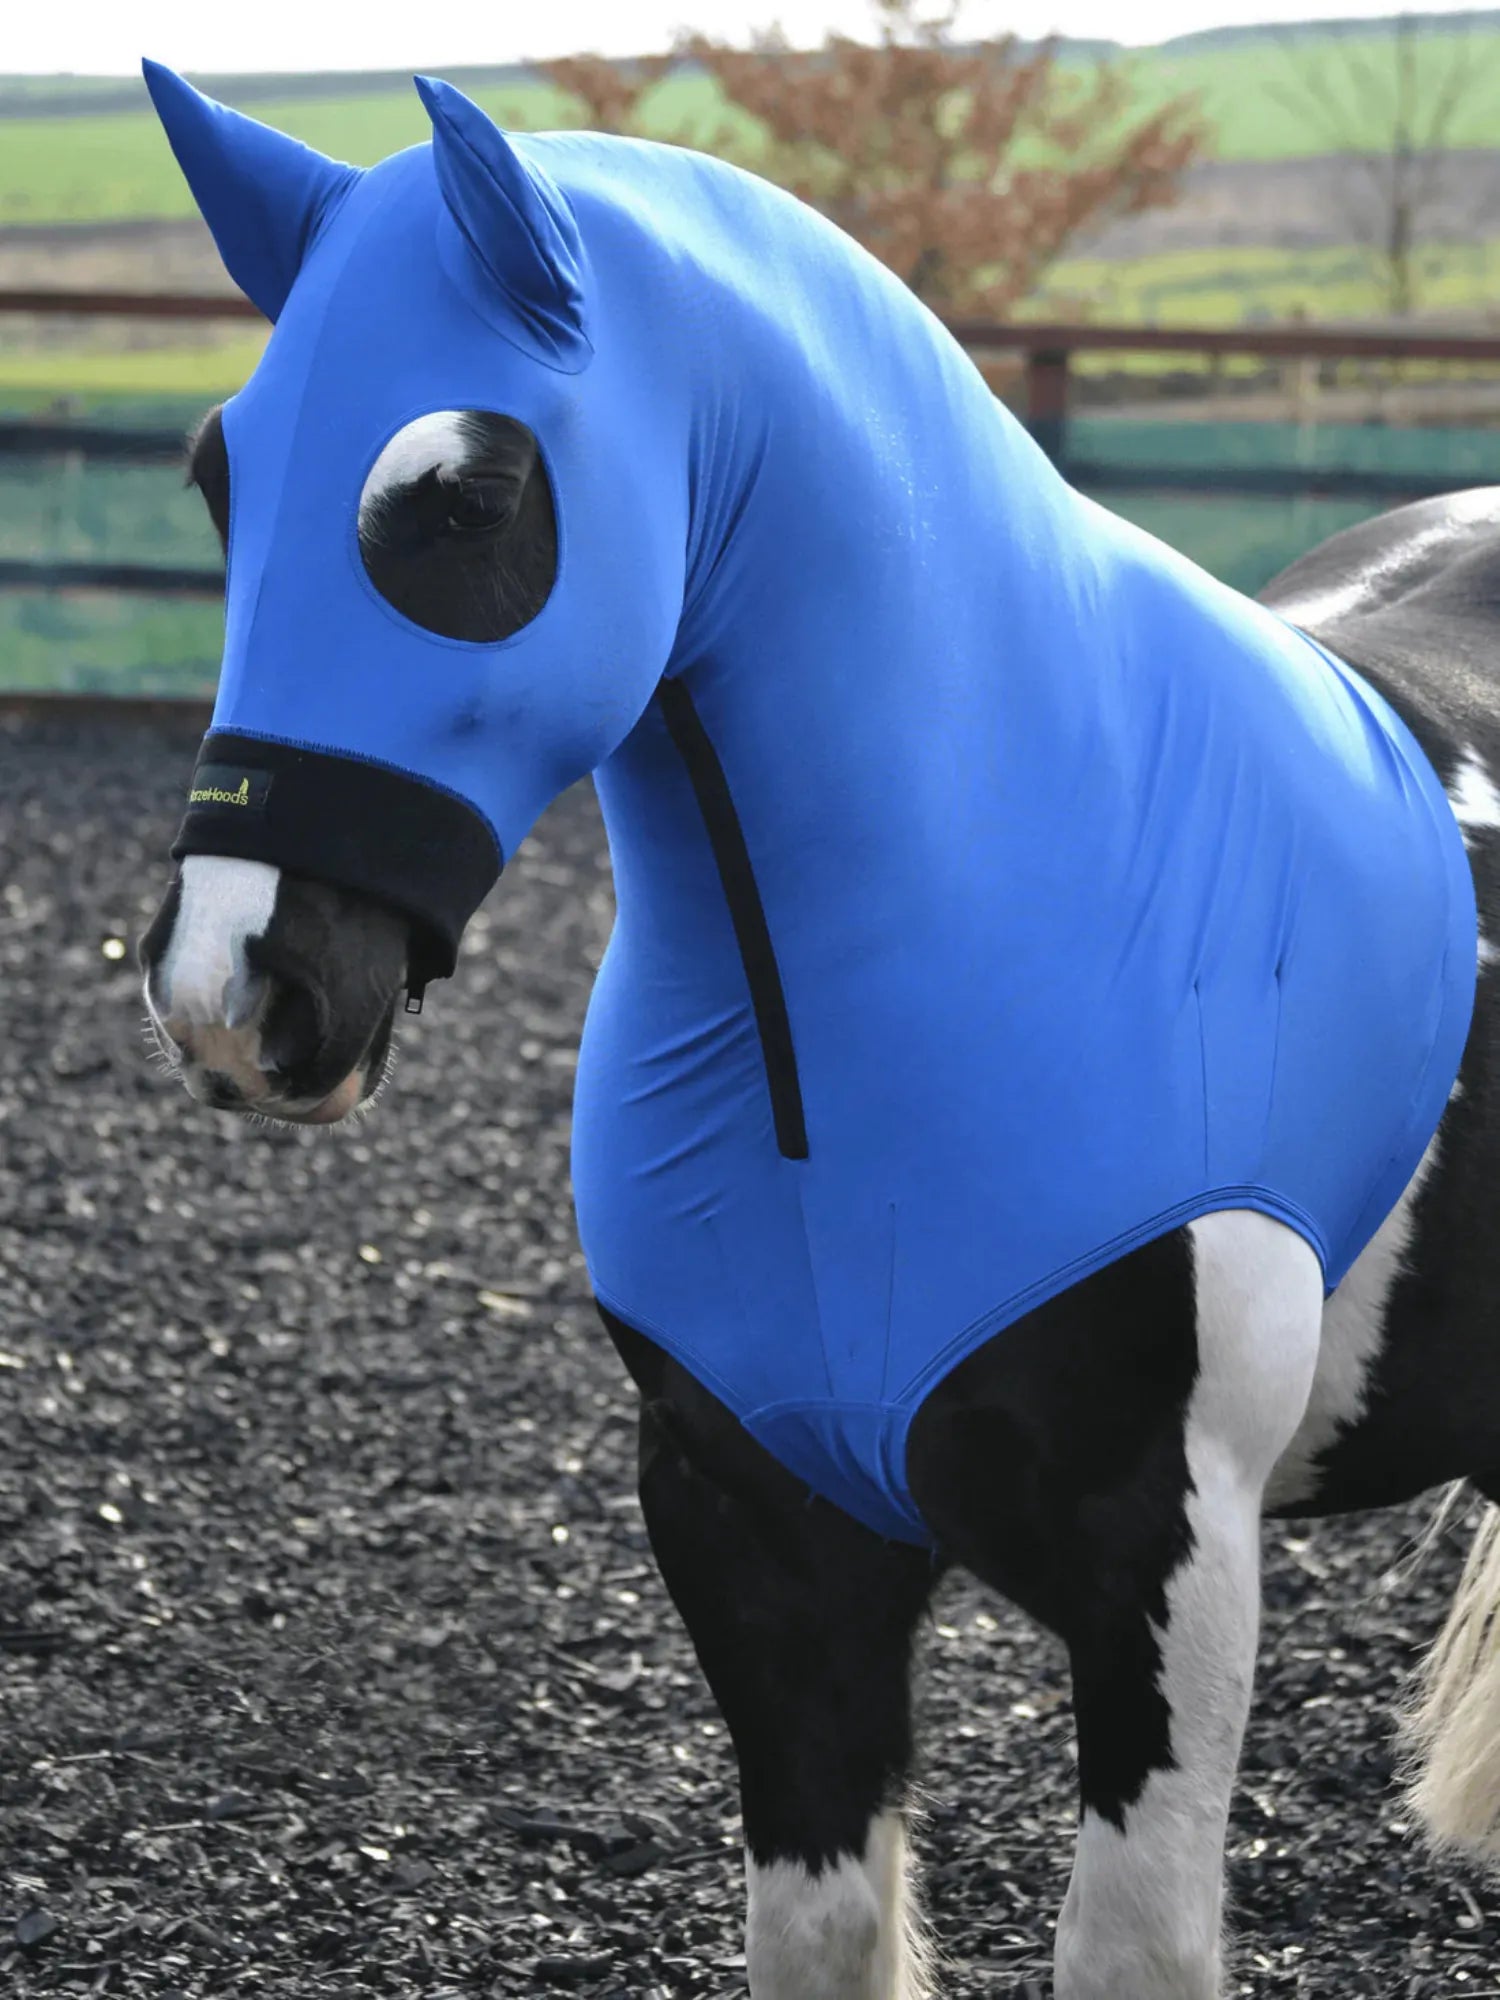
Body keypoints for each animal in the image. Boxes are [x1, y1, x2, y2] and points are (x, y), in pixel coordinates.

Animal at [133, 61, 1500, 2000]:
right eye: (216, 477)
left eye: (469, 501)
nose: (233, 988)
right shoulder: (763, 1537)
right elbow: (822, 1927)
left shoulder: (1166, 1564)